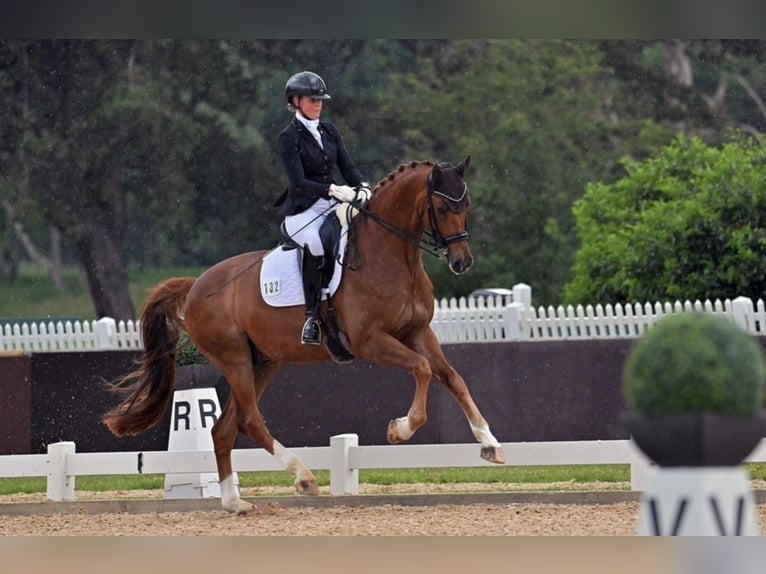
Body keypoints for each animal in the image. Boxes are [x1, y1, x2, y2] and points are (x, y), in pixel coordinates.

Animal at [105, 155, 508, 516]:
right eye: (440, 206)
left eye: (466, 204)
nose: (462, 262)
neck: (390, 255)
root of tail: (194, 286)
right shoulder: (369, 341)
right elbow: (422, 369)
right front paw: (400, 429)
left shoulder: (418, 332)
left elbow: (453, 378)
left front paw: (490, 445)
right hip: (235, 359)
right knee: (250, 421)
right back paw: (303, 477)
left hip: (264, 361)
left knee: (224, 429)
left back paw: (235, 502)